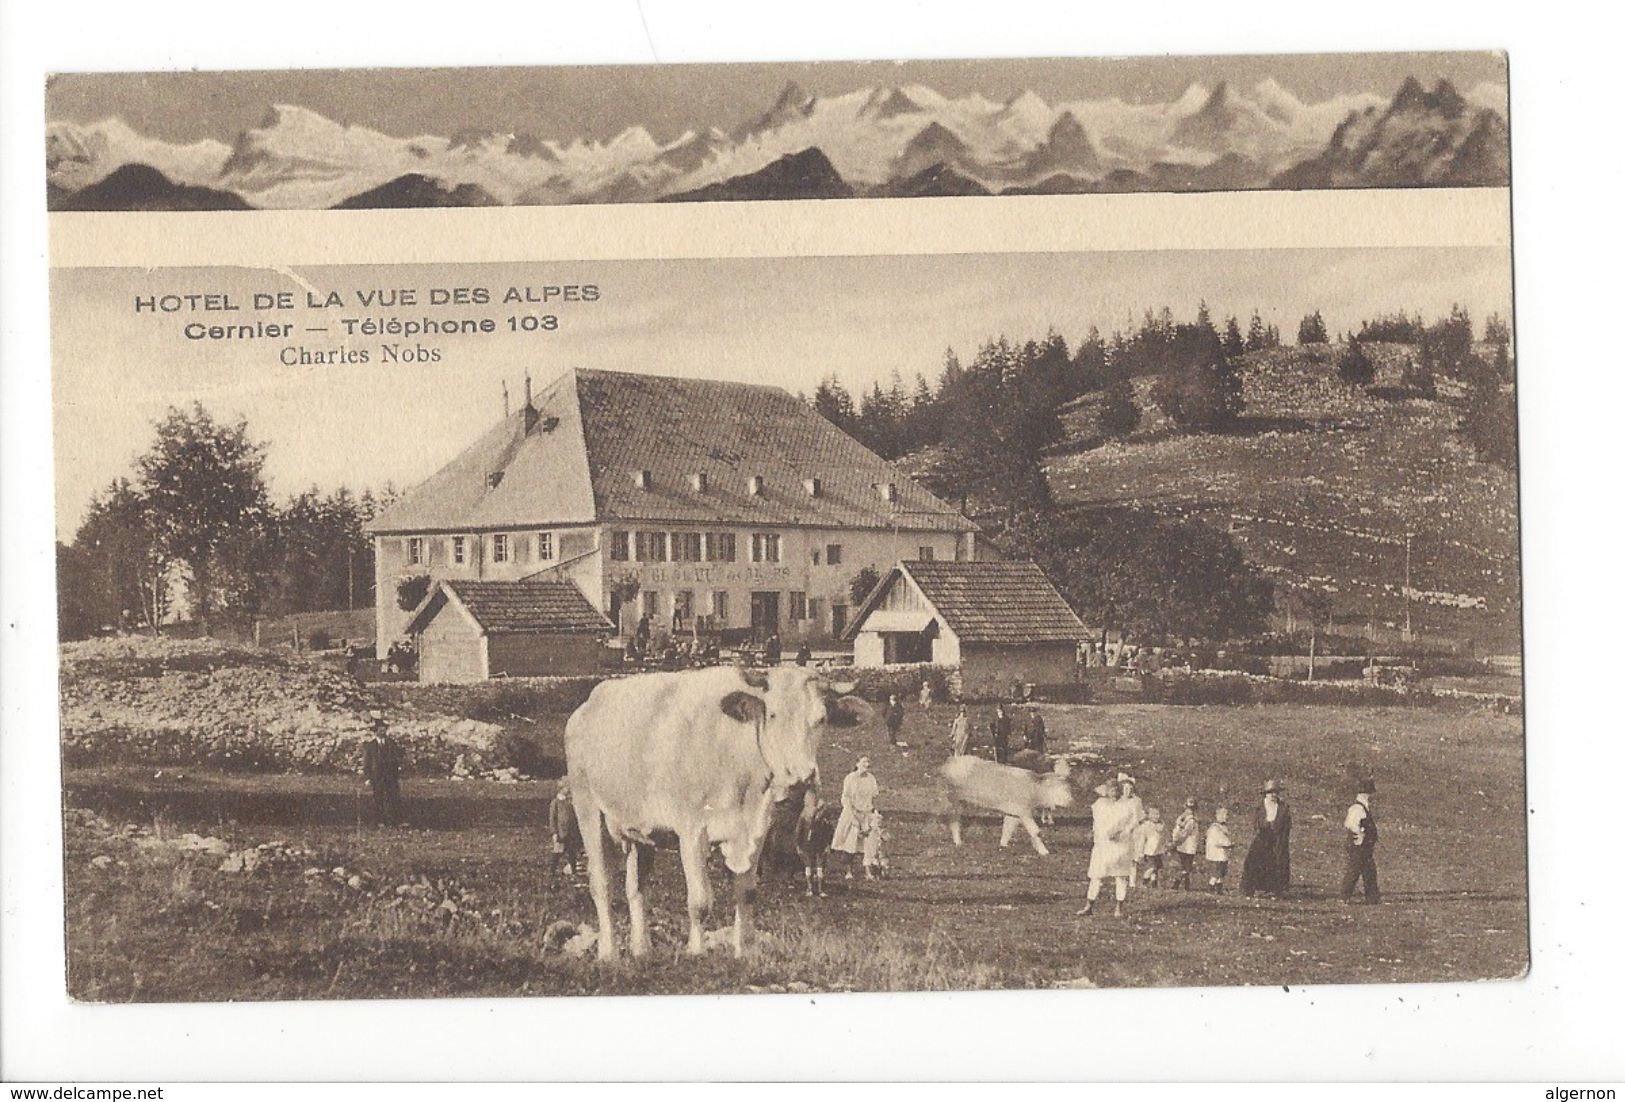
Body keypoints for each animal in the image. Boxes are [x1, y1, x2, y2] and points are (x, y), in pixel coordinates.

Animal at [562, 666, 864, 955]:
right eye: (773, 715)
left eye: (821, 719)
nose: (800, 781)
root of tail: (587, 705)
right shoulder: (691, 830)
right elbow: (699, 901)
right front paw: (697, 951)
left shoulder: (757, 828)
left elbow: (747, 893)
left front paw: (745, 950)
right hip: (587, 807)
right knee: (601, 884)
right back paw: (608, 952)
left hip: (641, 828)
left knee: (636, 887)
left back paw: (641, 949)